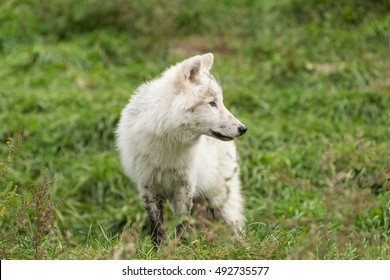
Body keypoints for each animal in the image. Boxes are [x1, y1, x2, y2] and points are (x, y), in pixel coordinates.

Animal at [116, 53, 248, 244]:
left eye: (221, 102)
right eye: (212, 103)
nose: (243, 129)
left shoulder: (184, 186)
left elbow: (183, 222)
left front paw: (184, 246)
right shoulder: (147, 186)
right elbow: (156, 226)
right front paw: (161, 248)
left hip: (220, 201)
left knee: (236, 227)